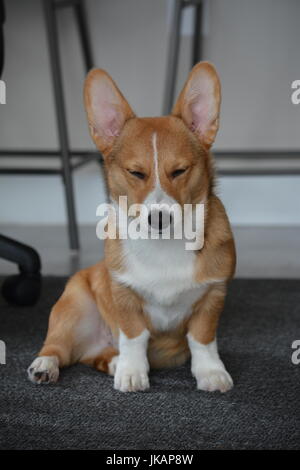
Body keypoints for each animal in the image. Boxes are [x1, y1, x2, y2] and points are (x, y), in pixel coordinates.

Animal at [27, 62, 236, 392]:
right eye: (136, 173)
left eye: (179, 171)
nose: (159, 218)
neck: (164, 244)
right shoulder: (123, 295)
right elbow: (135, 336)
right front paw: (132, 373)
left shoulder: (213, 295)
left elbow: (202, 339)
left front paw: (211, 372)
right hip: (72, 305)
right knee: (58, 347)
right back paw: (46, 366)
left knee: (91, 357)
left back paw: (112, 362)